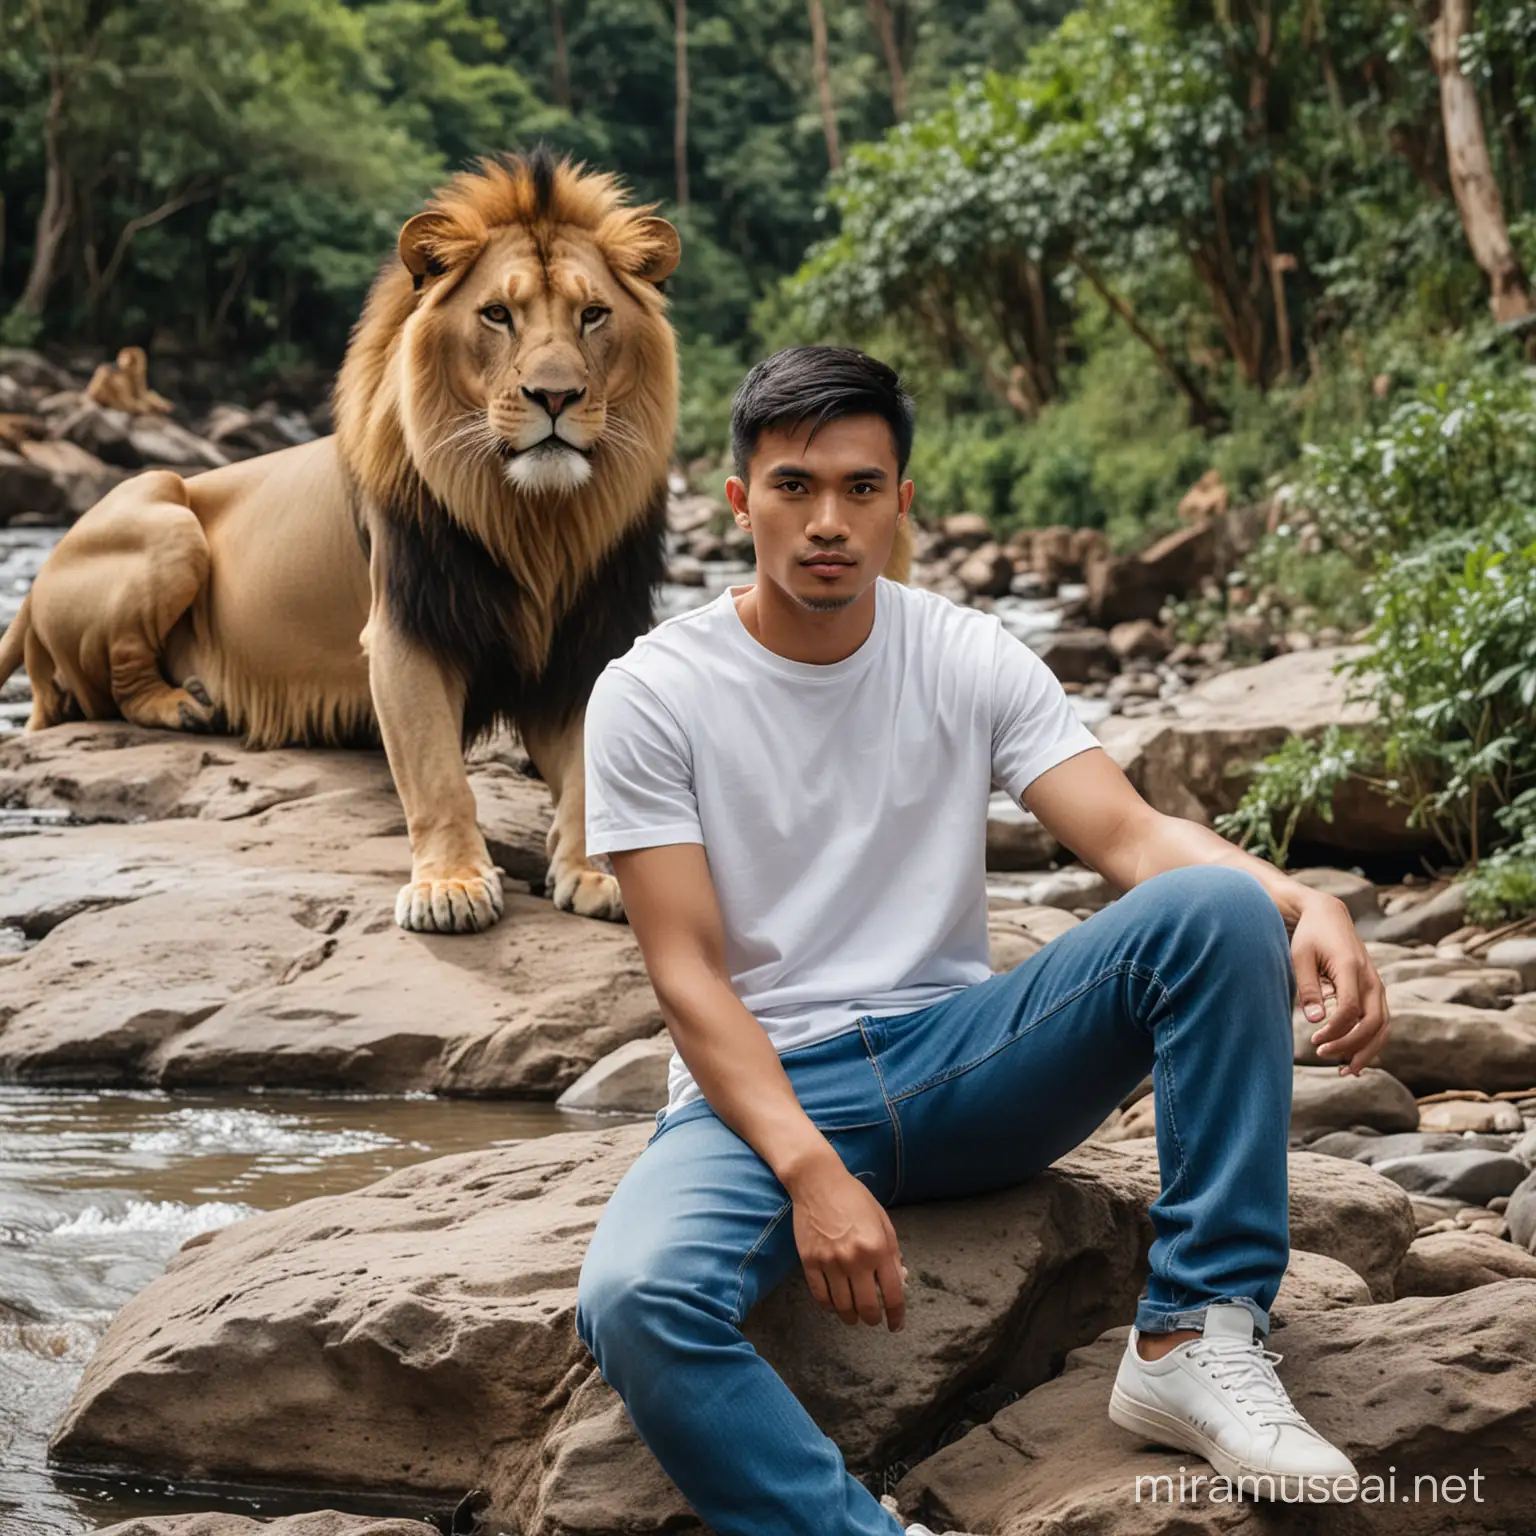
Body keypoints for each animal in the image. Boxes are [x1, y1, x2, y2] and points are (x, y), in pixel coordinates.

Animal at [0, 149, 909, 927]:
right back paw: (184, 703)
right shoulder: (404, 629)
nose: (555, 396)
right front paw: (451, 886)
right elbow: (437, 773)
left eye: (592, 315)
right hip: (166, 515)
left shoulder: (590, 640)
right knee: (113, 683)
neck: (536, 522)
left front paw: (596, 873)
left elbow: (592, 772)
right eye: (497, 315)